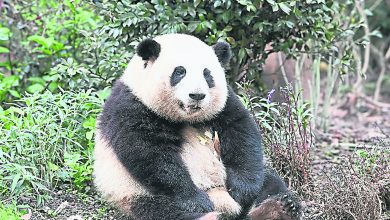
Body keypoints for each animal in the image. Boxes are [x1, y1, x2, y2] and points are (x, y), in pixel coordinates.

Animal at [92, 33, 302, 220]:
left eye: (207, 74)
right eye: (180, 72)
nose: (197, 95)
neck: (185, 118)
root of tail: (220, 200)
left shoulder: (225, 103)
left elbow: (241, 134)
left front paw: (241, 190)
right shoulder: (132, 104)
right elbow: (149, 153)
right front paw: (196, 200)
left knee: (270, 183)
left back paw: (278, 208)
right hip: (133, 192)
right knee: (160, 210)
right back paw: (208, 215)